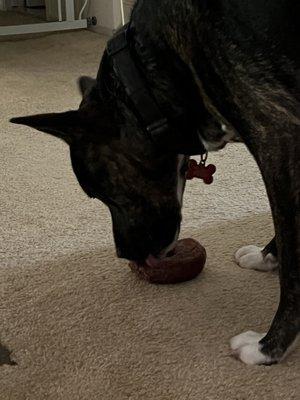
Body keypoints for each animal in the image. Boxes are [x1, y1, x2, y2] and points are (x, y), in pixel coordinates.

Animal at [10, 0, 298, 364]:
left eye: (101, 192)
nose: (124, 254)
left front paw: (268, 347)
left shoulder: (278, 135)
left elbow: (293, 255)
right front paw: (266, 256)